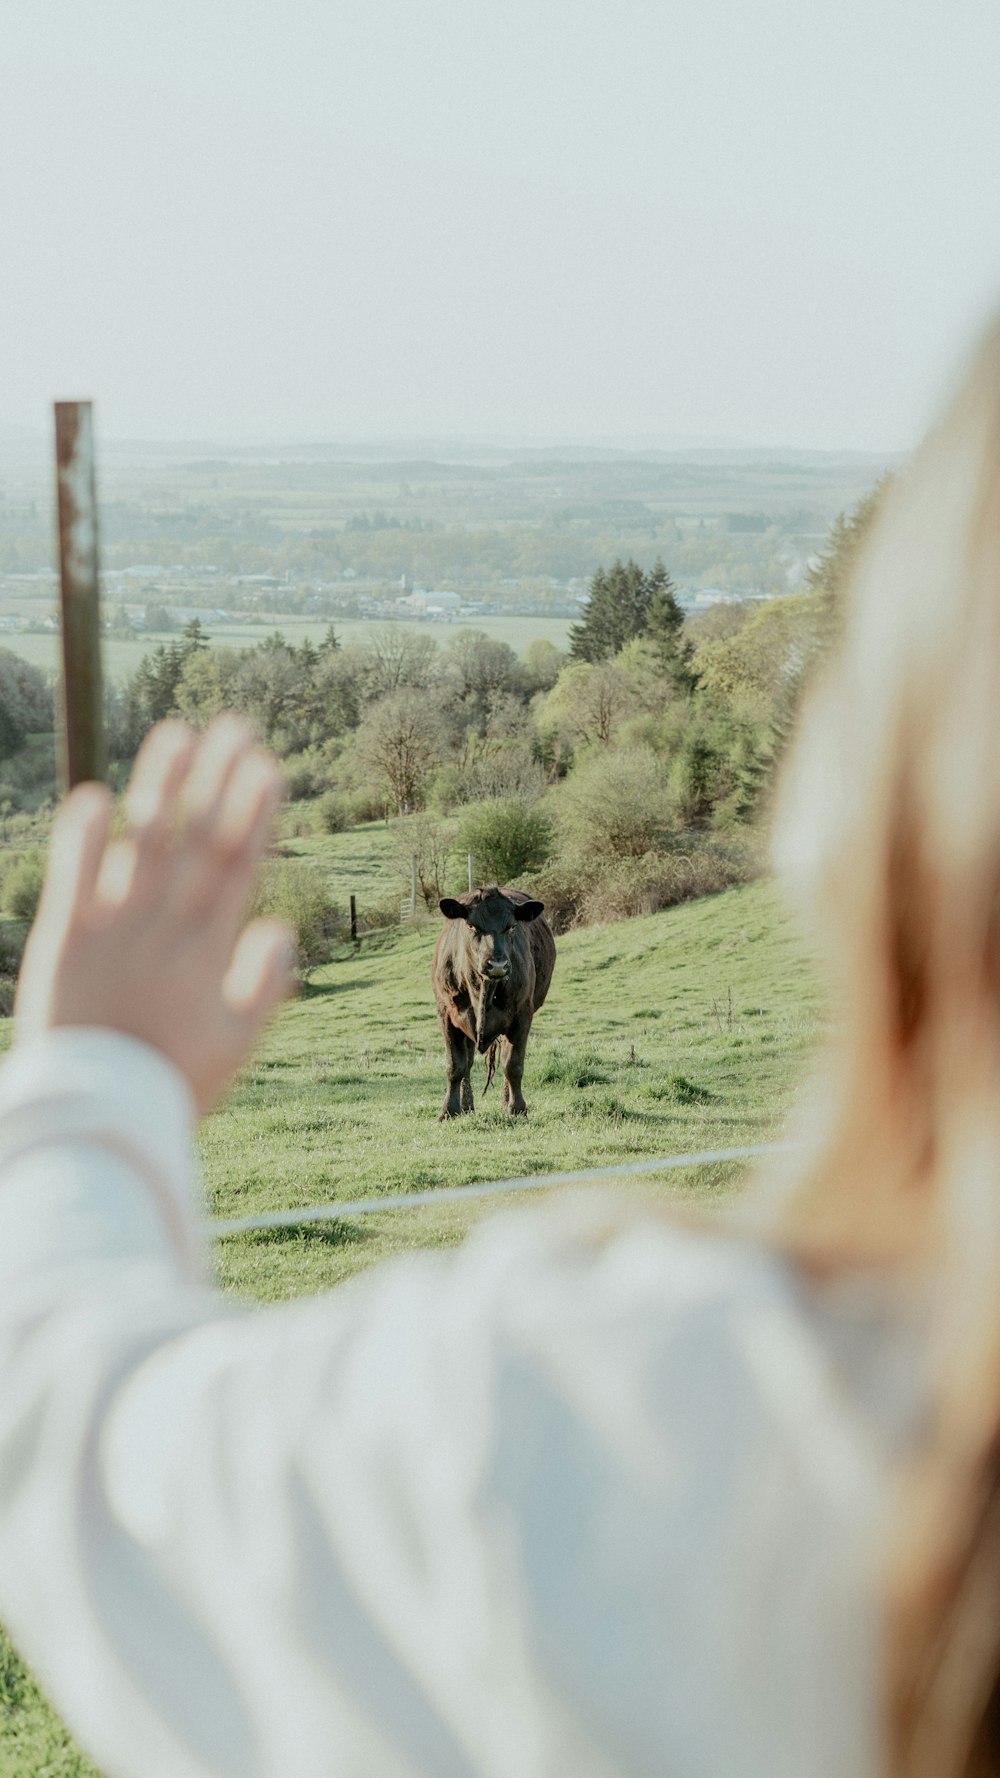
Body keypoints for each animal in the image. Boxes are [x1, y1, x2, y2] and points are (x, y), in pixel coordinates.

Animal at [428, 885, 551, 1116]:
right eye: (471, 925)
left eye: (512, 926)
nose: (497, 964)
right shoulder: (447, 1014)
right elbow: (455, 1066)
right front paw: (449, 1110)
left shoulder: (522, 1014)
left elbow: (512, 1065)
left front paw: (517, 1108)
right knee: (467, 1062)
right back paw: (466, 1104)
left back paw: (505, 1101)